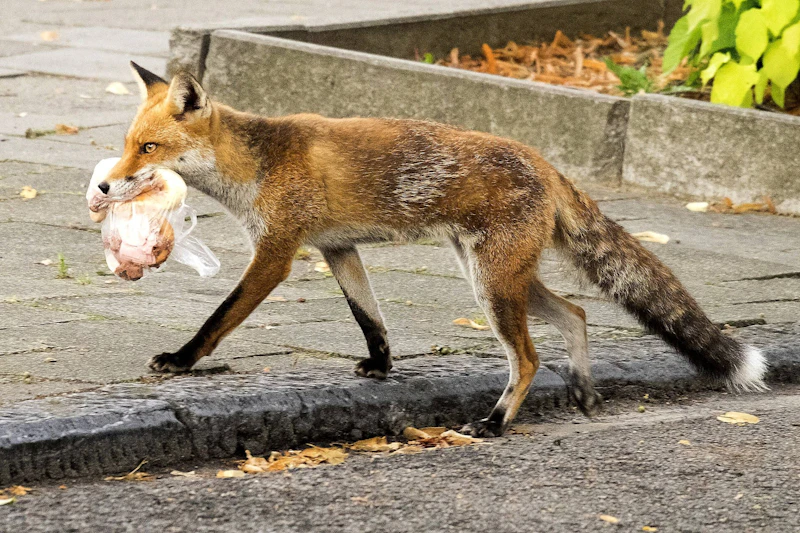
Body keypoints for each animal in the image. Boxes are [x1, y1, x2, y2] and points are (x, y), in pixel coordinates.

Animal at [94, 61, 768, 437]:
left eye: (148, 149)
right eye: (127, 145)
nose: (102, 187)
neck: (256, 165)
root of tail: (542, 160)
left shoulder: (277, 254)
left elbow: (219, 318)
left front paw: (182, 361)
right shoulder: (339, 250)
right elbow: (370, 318)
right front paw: (382, 367)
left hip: (493, 287)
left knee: (527, 358)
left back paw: (497, 423)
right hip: (499, 279)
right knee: (575, 314)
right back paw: (581, 389)